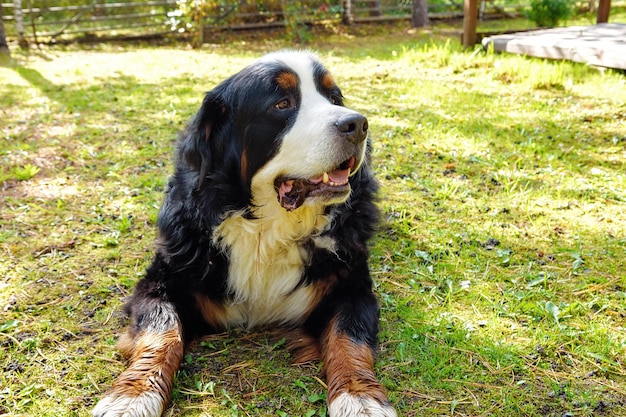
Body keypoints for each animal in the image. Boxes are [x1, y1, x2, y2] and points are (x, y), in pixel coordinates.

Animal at [91, 51, 394, 416]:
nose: (358, 124)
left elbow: (349, 338)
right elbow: (162, 331)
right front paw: (132, 396)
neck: (267, 229)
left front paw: (360, 398)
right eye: (282, 104)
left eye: (334, 99)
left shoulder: (351, 285)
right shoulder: (162, 281)